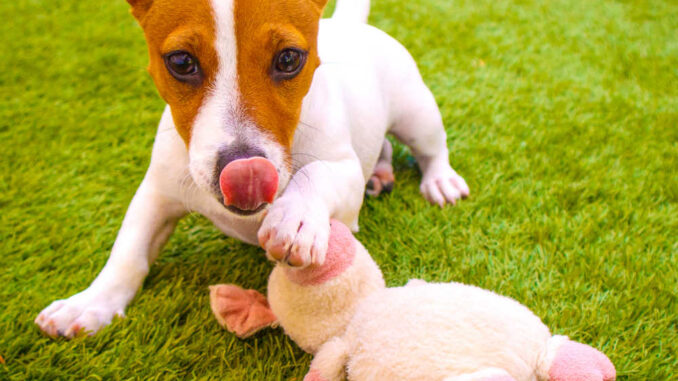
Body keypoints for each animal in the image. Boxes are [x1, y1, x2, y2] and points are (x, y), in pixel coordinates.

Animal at [35, 0, 472, 336]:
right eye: (181, 62)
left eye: (289, 59)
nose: (245, 170)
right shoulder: (156, 192)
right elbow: (128, 250)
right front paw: (90, 303)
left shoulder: (345, 173)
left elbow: (315, 174)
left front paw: (296, 220)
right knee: (382, 145)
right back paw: (380, 174)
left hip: (417, 113)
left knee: (431, 147)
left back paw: (439, 180)